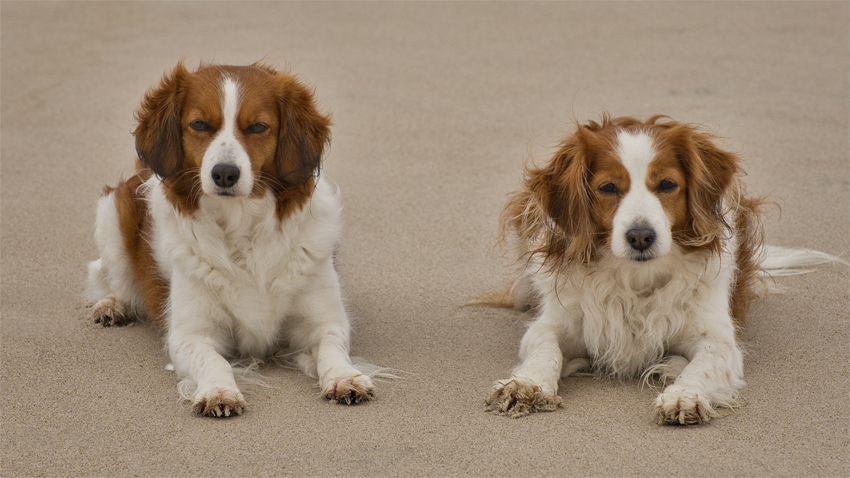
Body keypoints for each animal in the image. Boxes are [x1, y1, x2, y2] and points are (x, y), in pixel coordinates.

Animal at [87, 61, 374, 416]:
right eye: (199, 124)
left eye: (258, 127)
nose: (225, 174)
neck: (242, 226)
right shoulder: (190, 335)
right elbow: (214, 361)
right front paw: (219, 391)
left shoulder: (325, 321)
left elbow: (332, 348)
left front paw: (345, 377)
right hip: (112, 214)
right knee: (111, 276)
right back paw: (113, 304)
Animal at [476, 114, 840, 424]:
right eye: (608, 188)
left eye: (666, 185)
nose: (640, 236)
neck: (637, 279)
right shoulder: (556, 321)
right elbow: (544, 347)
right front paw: (528, 383)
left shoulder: (719, 337)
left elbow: (705, 363)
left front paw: (684, 395)